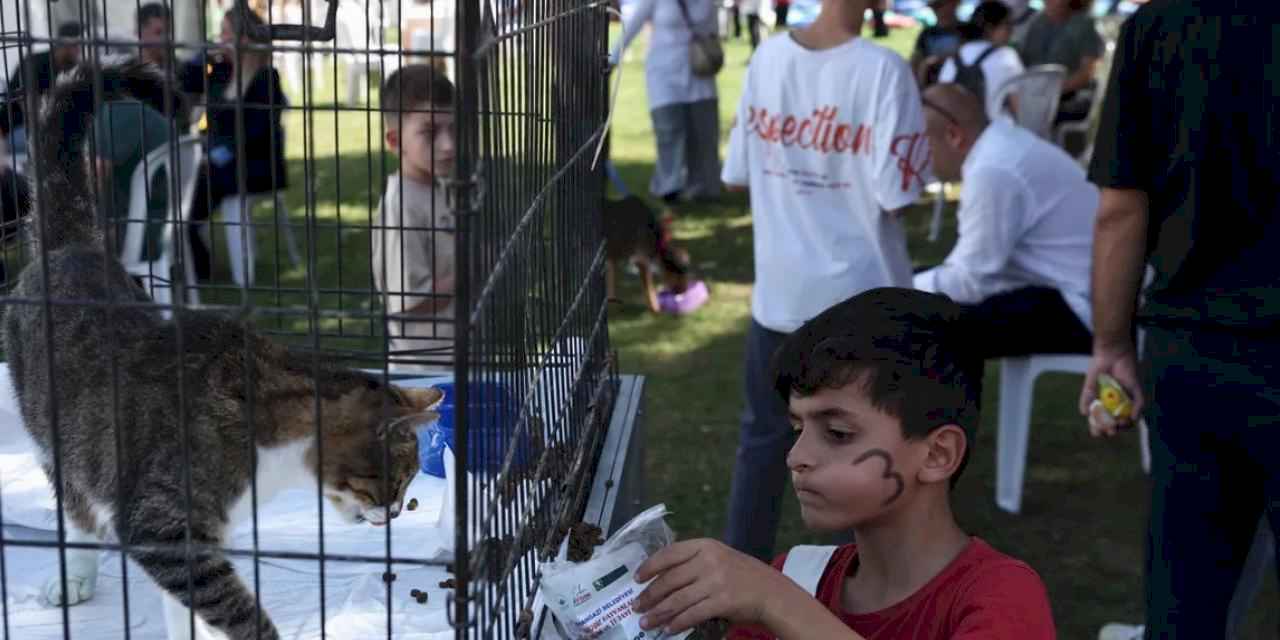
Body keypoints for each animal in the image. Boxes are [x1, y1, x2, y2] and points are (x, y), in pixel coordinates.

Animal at [1, 62, 440, 640]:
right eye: (392, 482)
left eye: (407, 484)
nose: (395, 514)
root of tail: (73, 247)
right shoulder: (163, 523)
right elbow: (226, 602)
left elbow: (190, 606)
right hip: (53, 431)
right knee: (74, 504)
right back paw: (75, 570)